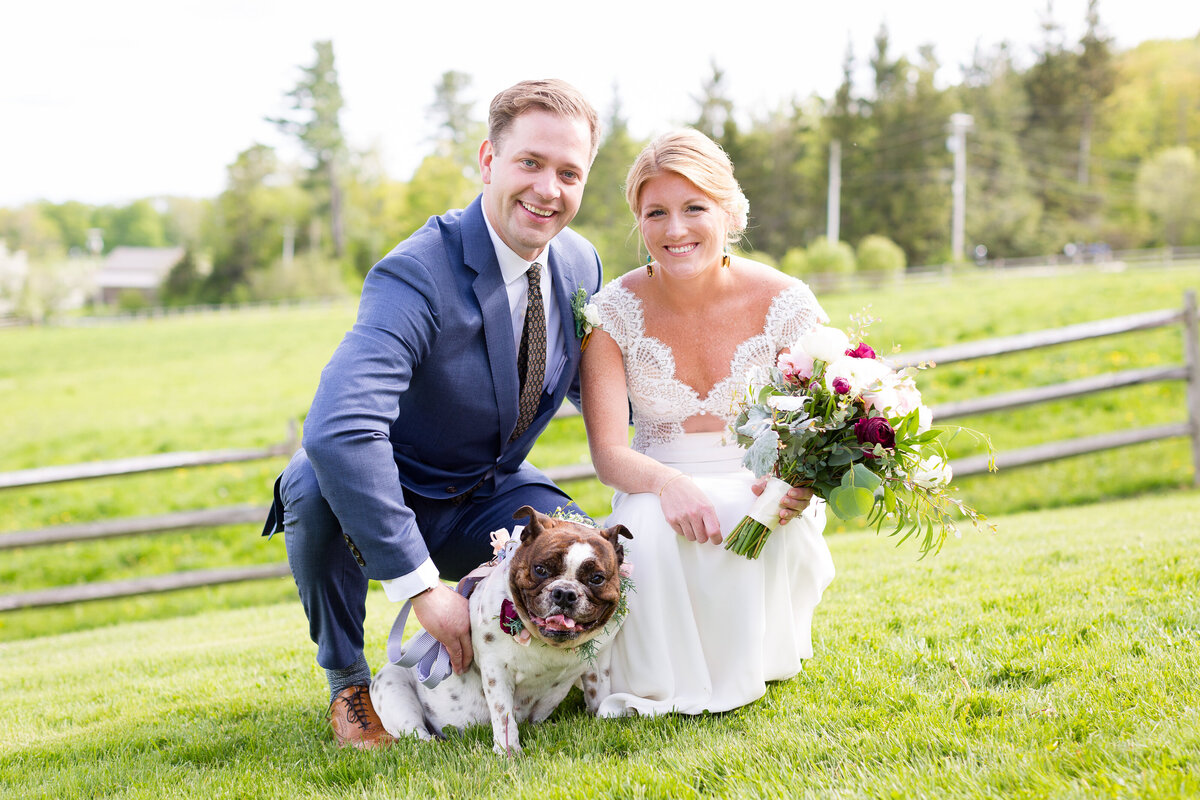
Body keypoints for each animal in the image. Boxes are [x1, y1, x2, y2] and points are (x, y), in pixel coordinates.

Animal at [369, 506, 633, 758]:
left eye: (597, 578)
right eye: (540, 569)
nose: (565, 593)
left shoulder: (598, 663)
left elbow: (598, 693)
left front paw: (604, 718)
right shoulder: (497, 671)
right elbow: (503, 714)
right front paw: (508, 750)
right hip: (394, 691)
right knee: (415, 734)